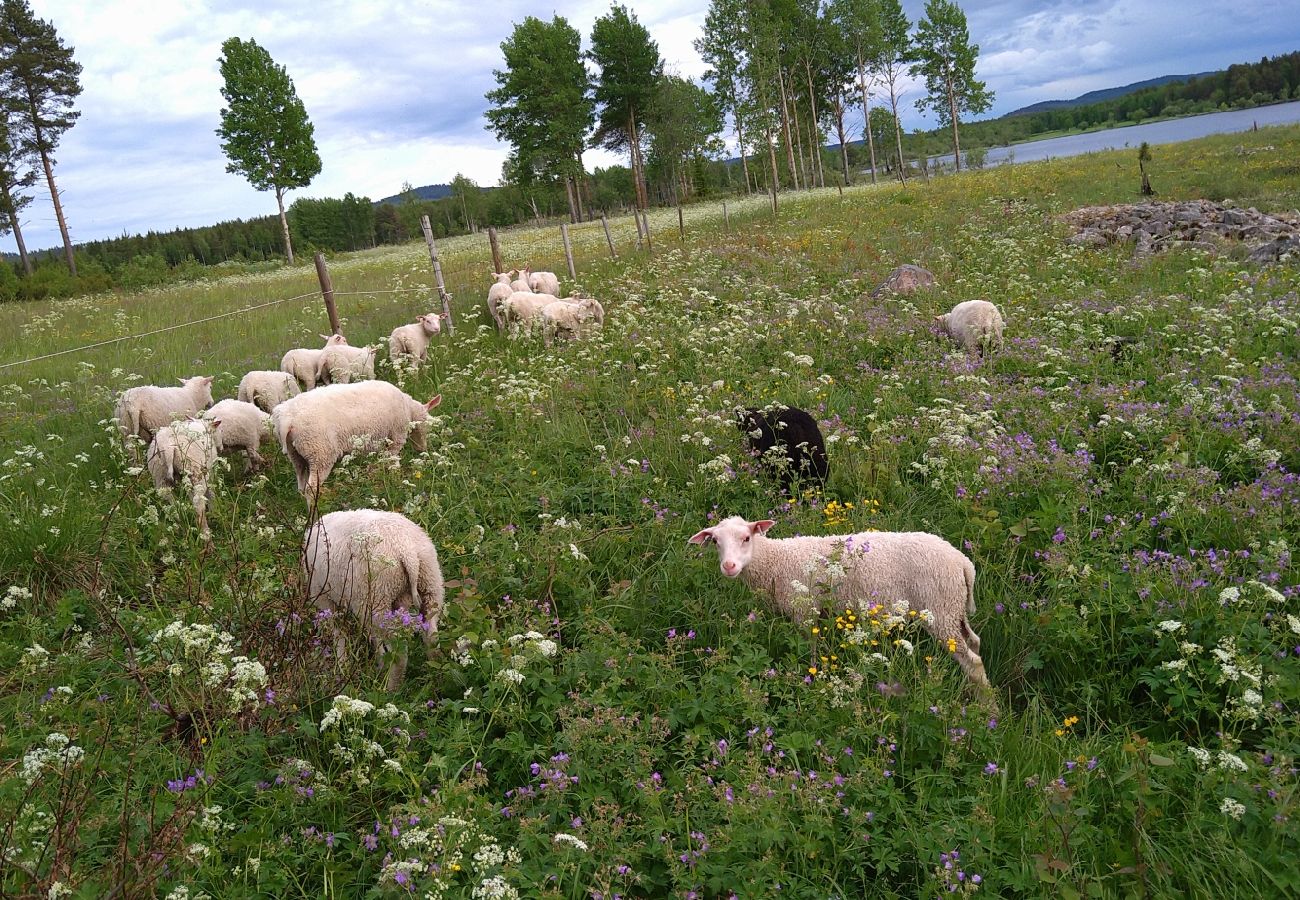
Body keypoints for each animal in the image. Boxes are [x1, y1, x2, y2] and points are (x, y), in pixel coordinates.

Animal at [270, 379, 441, 499]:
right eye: (426, 426)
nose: (422, 449)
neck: (409, 409)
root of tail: (287, 419)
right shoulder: (396, 437)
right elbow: (393, 461)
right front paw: (395, 479)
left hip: (296, 454)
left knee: (300, 484)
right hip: (320, 452)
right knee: (310, 489)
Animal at [304, 509, 447, 691]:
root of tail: (407, 551)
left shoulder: (325, 599)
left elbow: (339, 633)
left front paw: (342, 666)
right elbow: (374, 639)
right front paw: (379, 665)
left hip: (376, 597)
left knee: (399, 653)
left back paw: (391, 689)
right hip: (429, 586)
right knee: (432, 639)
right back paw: (436, 677)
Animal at [686, 517, 987, 686]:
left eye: (747, 538)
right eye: (715, 542)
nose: (729, 566)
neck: (775, 560)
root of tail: (963, 563)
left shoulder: (805, 611)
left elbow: (809, 650)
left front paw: (810, 677)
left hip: (940, 609)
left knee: (973, 662)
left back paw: (987, 709)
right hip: (953, 610)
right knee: (974, 643)